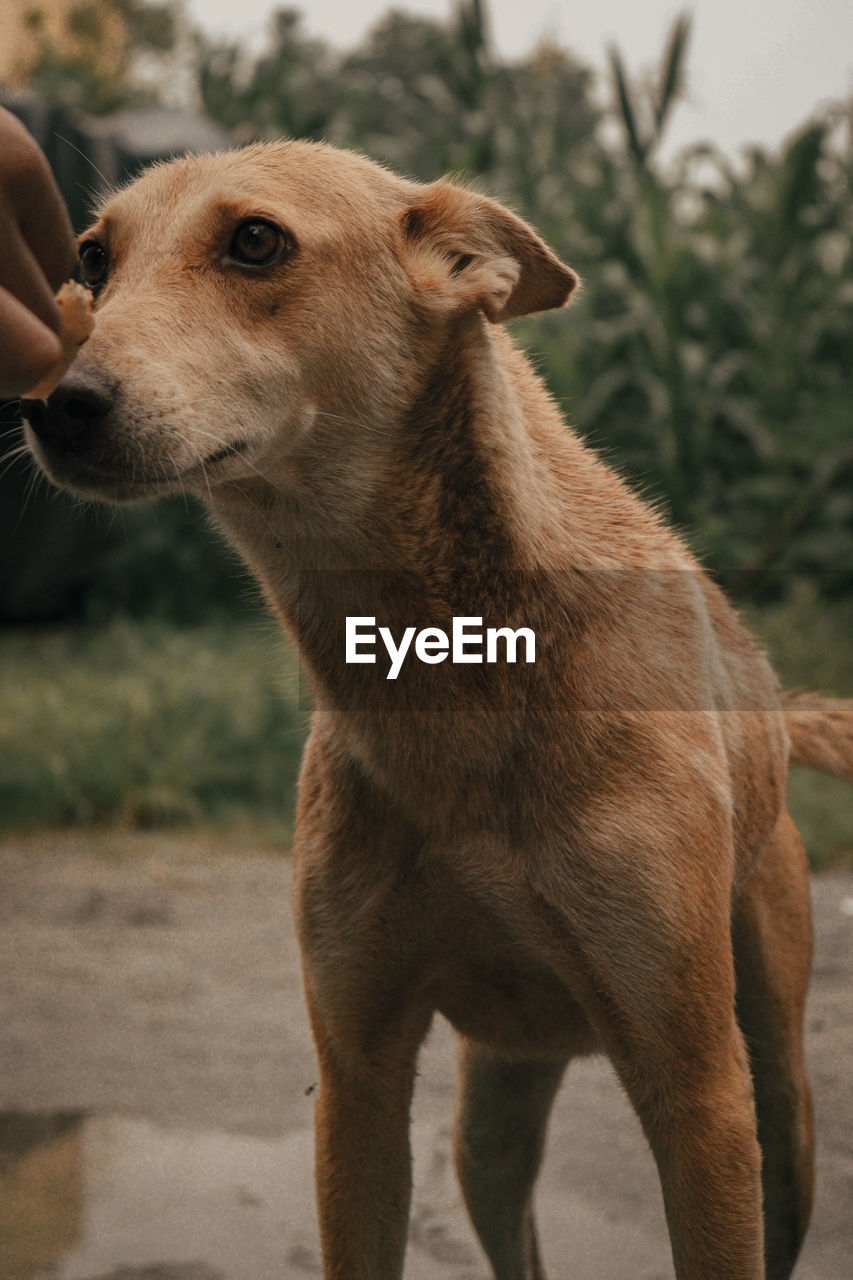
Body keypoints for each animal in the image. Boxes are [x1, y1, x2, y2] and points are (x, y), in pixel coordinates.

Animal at [19, 140, 850, 1280]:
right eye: (94, 260)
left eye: (255, 241)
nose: (52, 402)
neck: (452, 683)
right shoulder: (358, 1079)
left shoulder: (698, 1096)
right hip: (487, 1122)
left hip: (783, 1109)